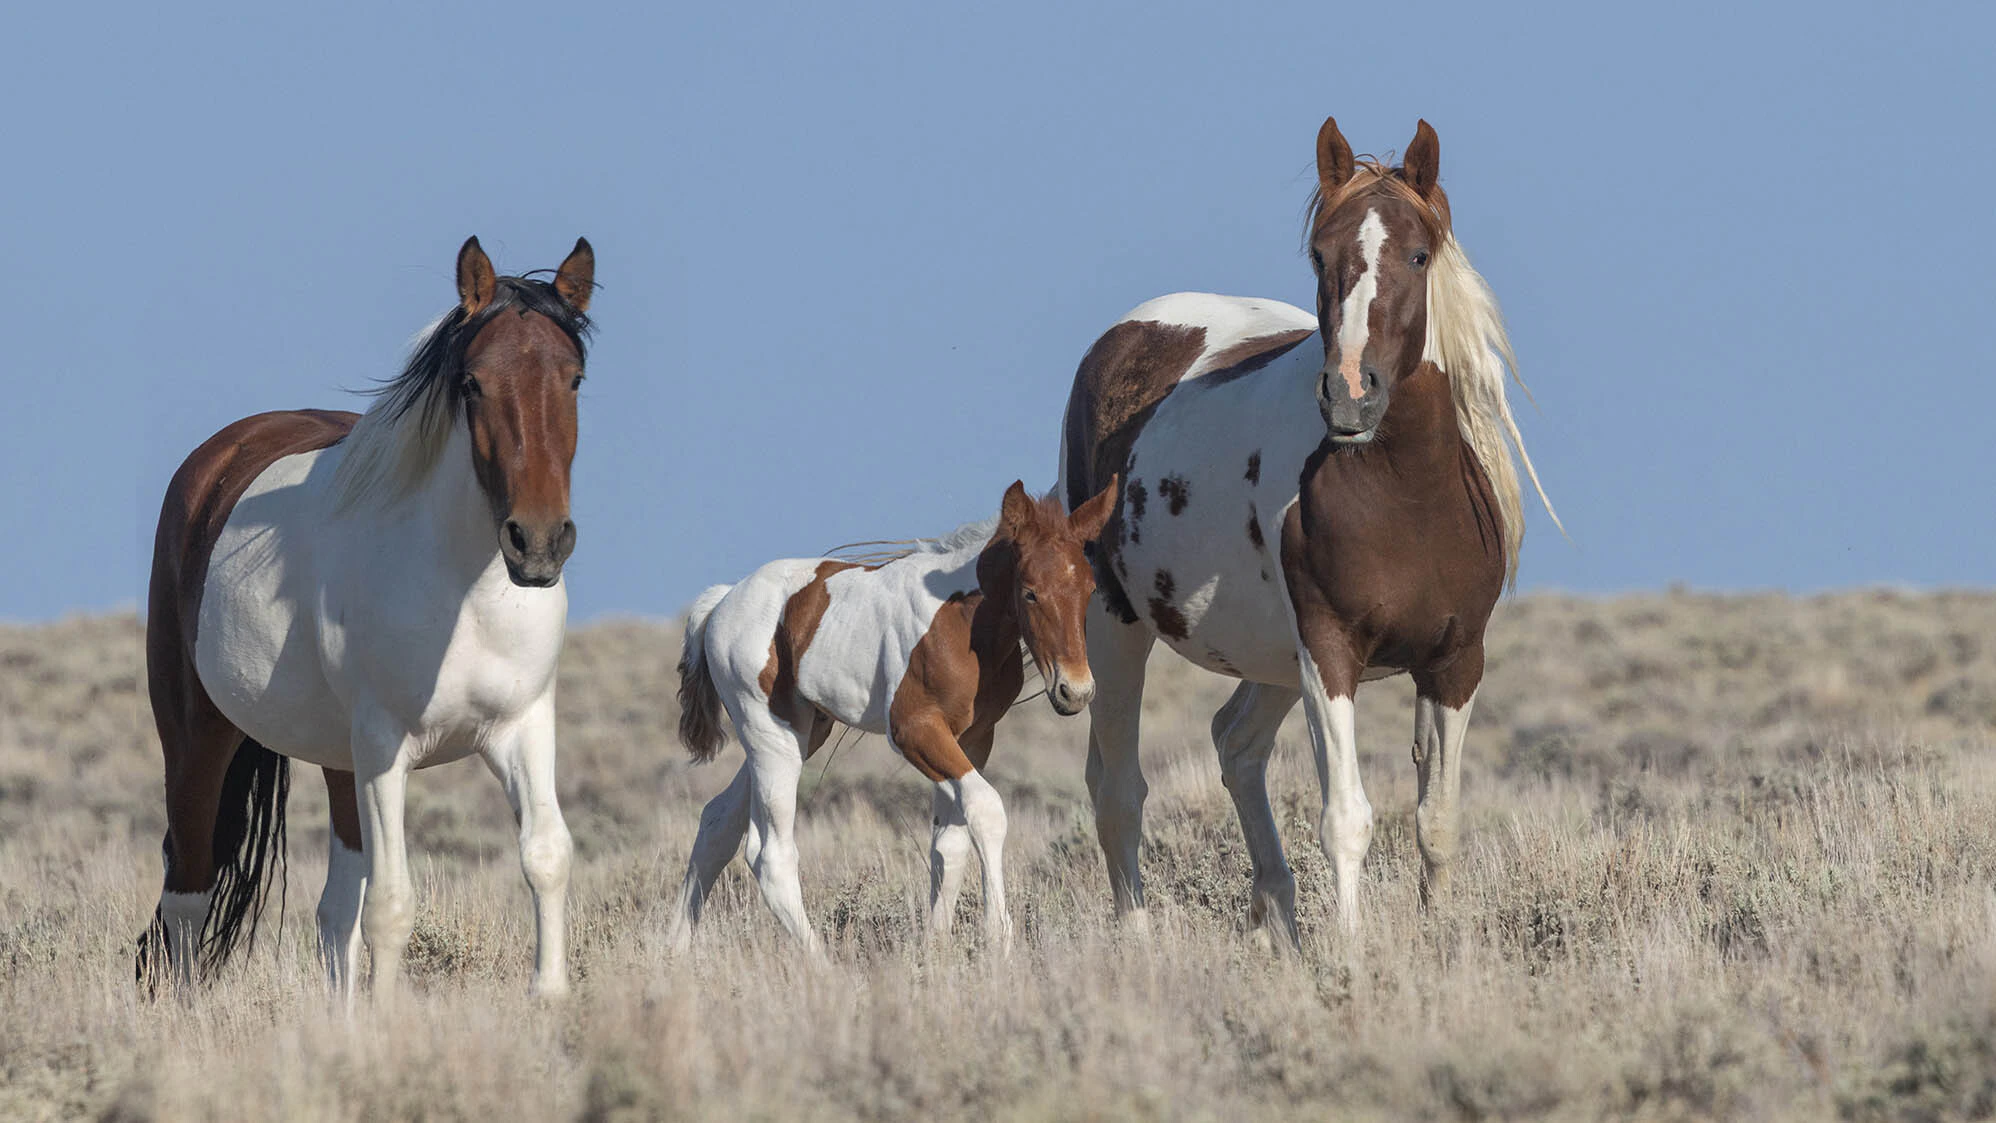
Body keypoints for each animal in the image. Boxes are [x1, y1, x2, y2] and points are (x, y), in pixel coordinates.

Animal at [137, 236, 597, 1002]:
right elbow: (392, 903)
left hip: (339, 761)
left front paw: (551, 997)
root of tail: (216, 462)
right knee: (188, 895)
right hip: (199, 738)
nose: (537, 542)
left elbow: (546, 856)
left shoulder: (523, 728)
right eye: (472, 383)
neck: (464, 592)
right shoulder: (386, 745)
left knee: (331, 915)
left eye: (575, 379)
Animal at [668, 478, 1117, 954]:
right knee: (769, 854)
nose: (1075, 691)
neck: (960, 623)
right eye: (1030, 591)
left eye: (1089, 590)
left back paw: (673, 948)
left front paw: (935, 949)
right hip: (771, 736)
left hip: (804, 732)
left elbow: (949, 843)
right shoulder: (913, 730)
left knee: (717, 822)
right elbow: (987, 809)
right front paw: (998, 936)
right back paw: (821, 963)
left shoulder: (973, 737)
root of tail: (722, 602)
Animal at [1056, 117, 1558, 943]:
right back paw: (1141, 942)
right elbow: (1346, 818)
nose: (1351, 394)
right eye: (1322, 253)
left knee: (1236, 745)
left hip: (1269, 659)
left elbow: (1437, 820)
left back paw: (1276, 916)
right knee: (1120, 792)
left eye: (1419, 254)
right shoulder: (1330, 651)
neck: (1406, 494)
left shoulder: (1456, 663)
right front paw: (1350, 956)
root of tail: (1130, 332)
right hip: (1114, 626)